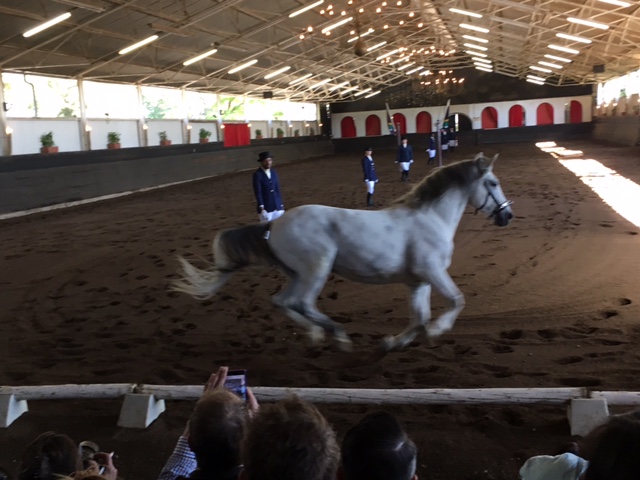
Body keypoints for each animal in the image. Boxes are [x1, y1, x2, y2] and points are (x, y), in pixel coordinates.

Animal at [171, 153, 513, 351]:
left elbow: (419, 318)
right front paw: (438, 331)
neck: (431, 217)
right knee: (302, 303)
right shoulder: (433, 272)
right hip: (317, 269)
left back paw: (316, 335)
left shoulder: (418, 281)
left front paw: (391, 343)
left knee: (282, 301)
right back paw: (338, 335)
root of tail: (275, 223)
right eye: (493, 183)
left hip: (297, 273)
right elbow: (456, 300)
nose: (507, 216)